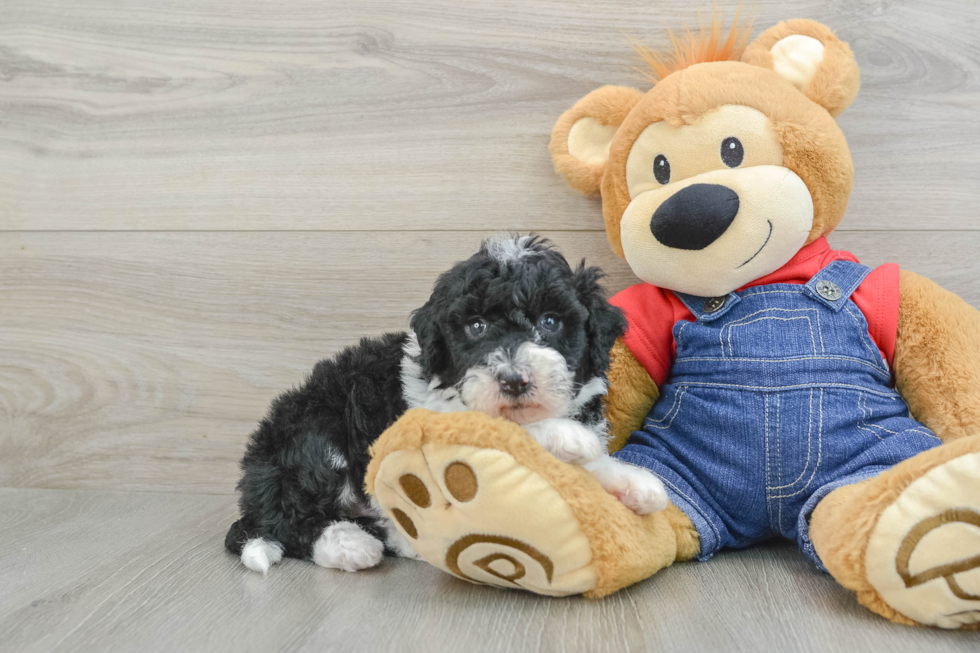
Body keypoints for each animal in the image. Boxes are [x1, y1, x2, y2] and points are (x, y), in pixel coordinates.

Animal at [224, 237, 668, 572]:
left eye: (550, 321)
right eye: (476, 326)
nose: (514, 380)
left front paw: (631, 481)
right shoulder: (437, 420)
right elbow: (503, 428)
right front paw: (567, 436)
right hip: (315, 435)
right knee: (289, 521)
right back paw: (349, 545)